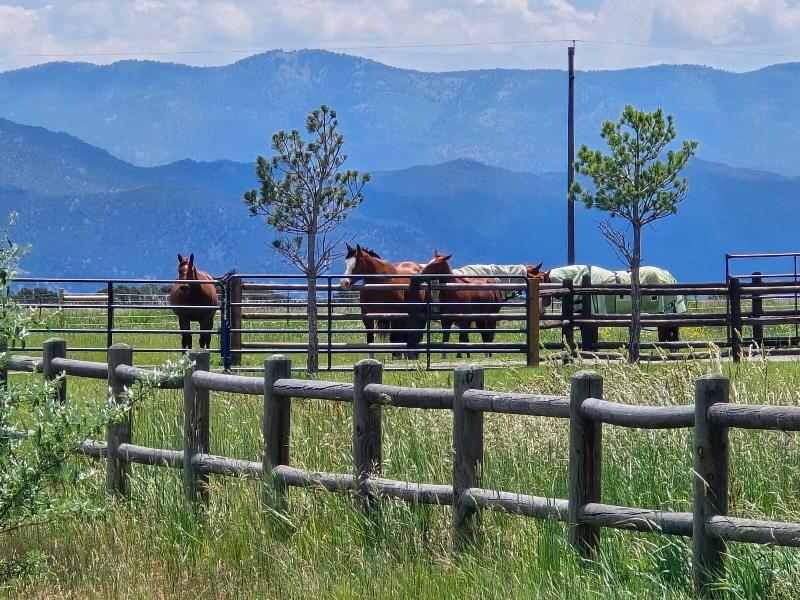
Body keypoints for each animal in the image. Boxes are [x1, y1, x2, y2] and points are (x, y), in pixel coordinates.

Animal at [532, 264, 685, 342]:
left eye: (542, 284)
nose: (539, 311)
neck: (578, 278)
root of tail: (669, 276)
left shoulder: (590, 316)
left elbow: (590, 337)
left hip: (663, 313)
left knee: (665, 336)